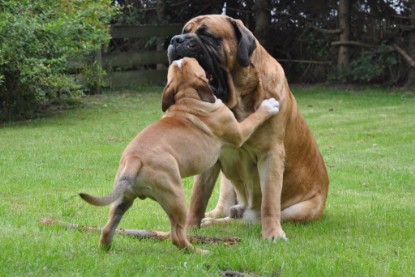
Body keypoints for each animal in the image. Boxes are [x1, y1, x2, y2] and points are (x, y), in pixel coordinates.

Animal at [79, 57, 280, 252]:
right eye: (193, 61)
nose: (179, 56)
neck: (188, 97)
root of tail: (134, 160)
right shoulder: (239, 132)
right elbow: (254, 118)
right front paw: (269, 106)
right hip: (176, 197)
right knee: (177, 235)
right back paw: (198, 251)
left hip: (122, 199)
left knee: (108, 227)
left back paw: (106, 248)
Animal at [167, 14, 330, 239]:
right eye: (184, 31)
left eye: (207, 35)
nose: (176, 40)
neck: (238, 101)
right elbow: (198, 198)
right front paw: (191, 227)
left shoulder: (271, 155)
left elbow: (270, 202)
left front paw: (272, 234)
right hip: (227, 185)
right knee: (225, 211)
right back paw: (213, 219)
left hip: (302, 209)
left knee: (251, 218)